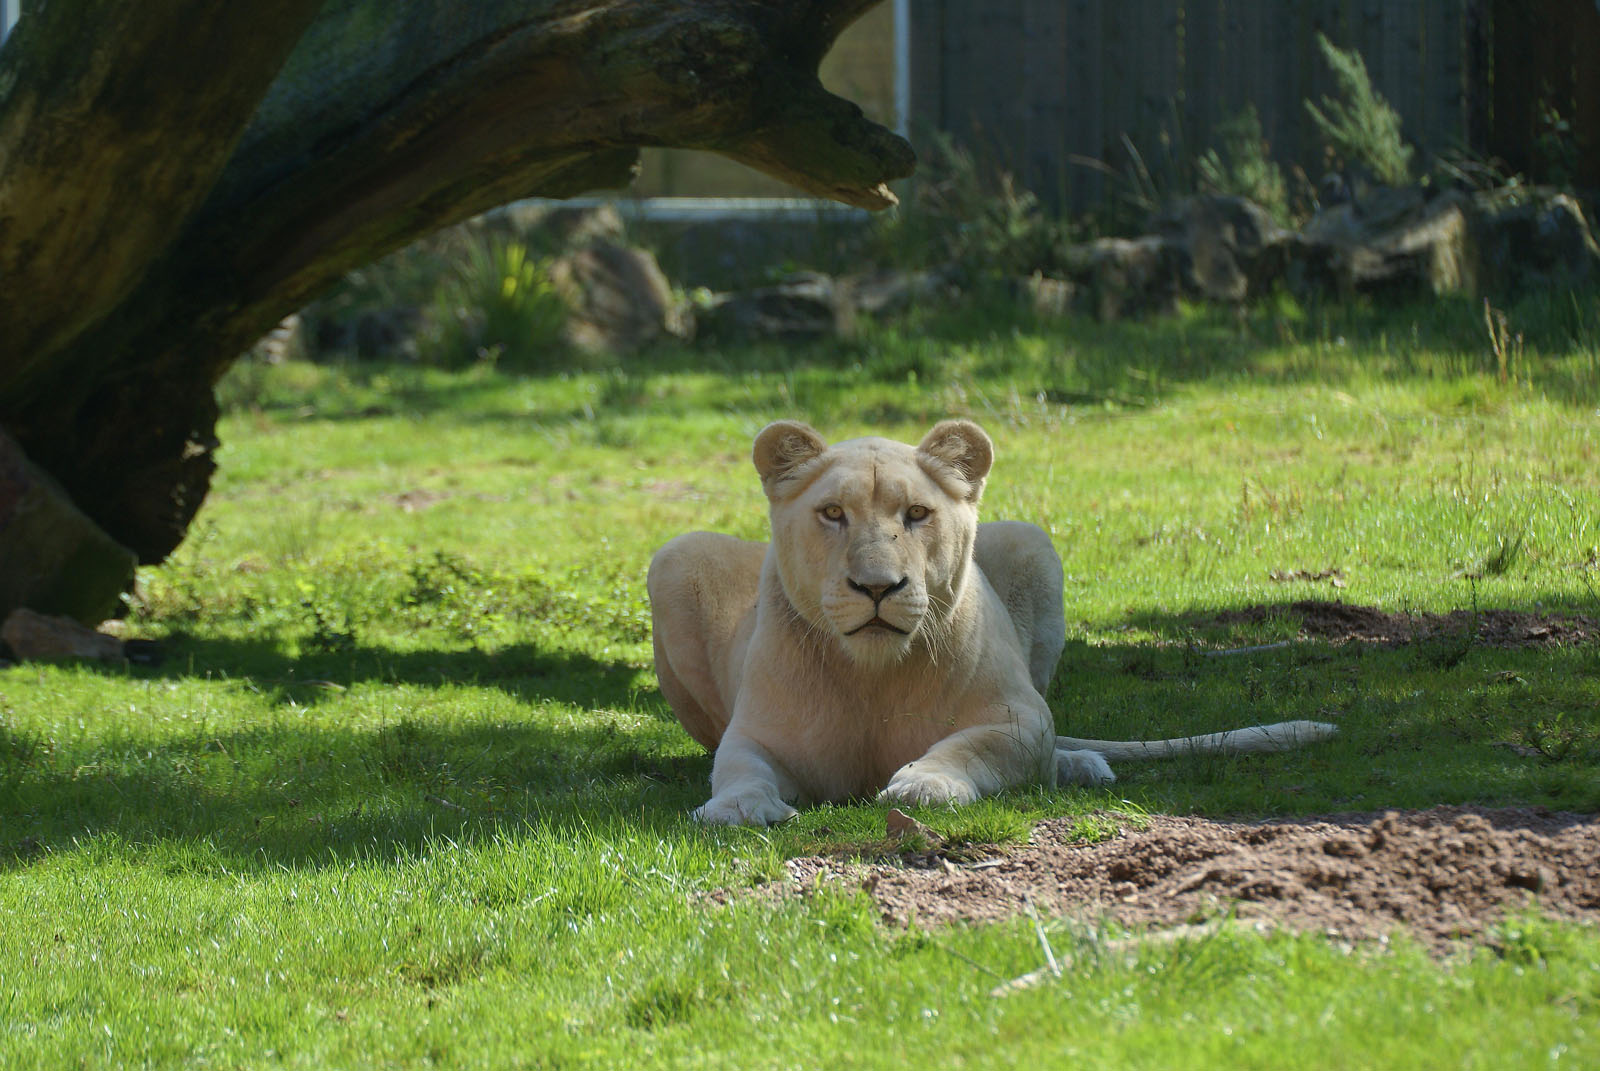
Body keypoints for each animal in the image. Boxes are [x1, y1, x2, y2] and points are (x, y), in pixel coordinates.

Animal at [648, 419, 1335, 826]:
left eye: (917, 514)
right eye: (833, 513)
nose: (877, 587)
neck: (871, 675)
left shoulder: (1020, 715)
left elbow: (975, 744)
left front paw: (924, 785)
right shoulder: (754, 733)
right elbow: (738, 766)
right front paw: (737, 807)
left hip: (1032, 544)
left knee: (1054, 745)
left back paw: (1077, 766)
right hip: (673, 557)